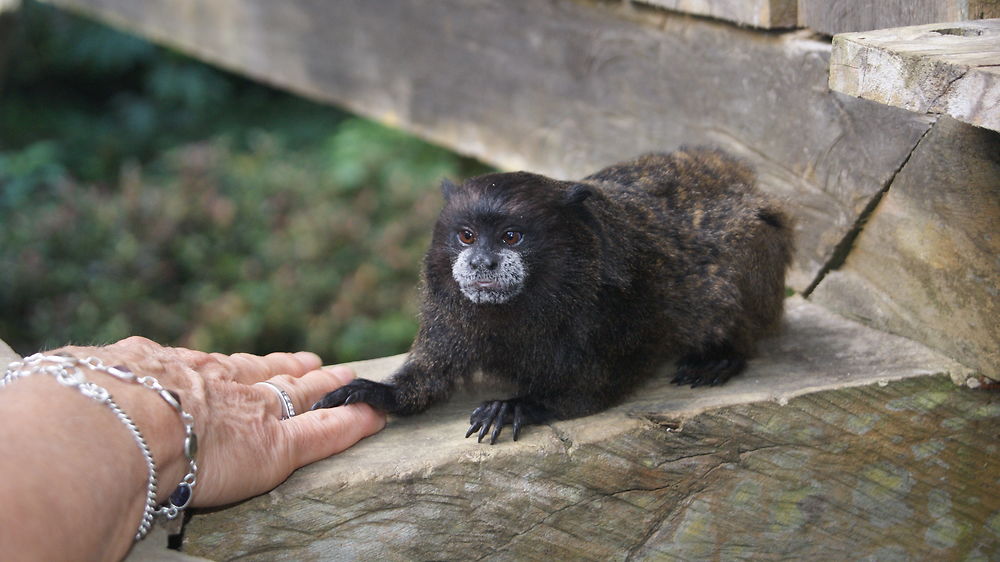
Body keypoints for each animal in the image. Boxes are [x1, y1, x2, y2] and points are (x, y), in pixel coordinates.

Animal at [314, 148, 796, 442]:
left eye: (510, 237)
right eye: (467, 236)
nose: (481, 262)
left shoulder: (610, 313)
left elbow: (593, 389)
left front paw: (518, 405)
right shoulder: (448, 315)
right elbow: (429, 381)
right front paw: (375, 393)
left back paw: (723, 354)